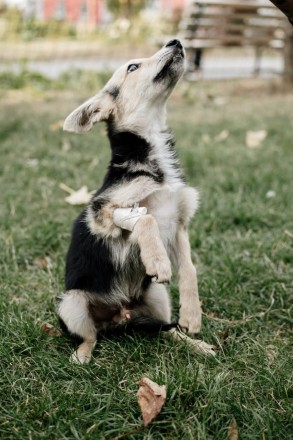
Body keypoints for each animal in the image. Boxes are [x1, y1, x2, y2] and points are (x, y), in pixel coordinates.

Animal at [56, 39, 214, 362]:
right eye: (132, 67)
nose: (175, 41)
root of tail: (118, 319)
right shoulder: (102, 213)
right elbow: (146, 217)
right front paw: (157, 260)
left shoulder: (178, 225)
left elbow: (189, 268)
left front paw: (193, 313)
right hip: (70, 302)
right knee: (90, 335)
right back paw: (82, 355)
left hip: (157, 296)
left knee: (165, 329)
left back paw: (194, 343)